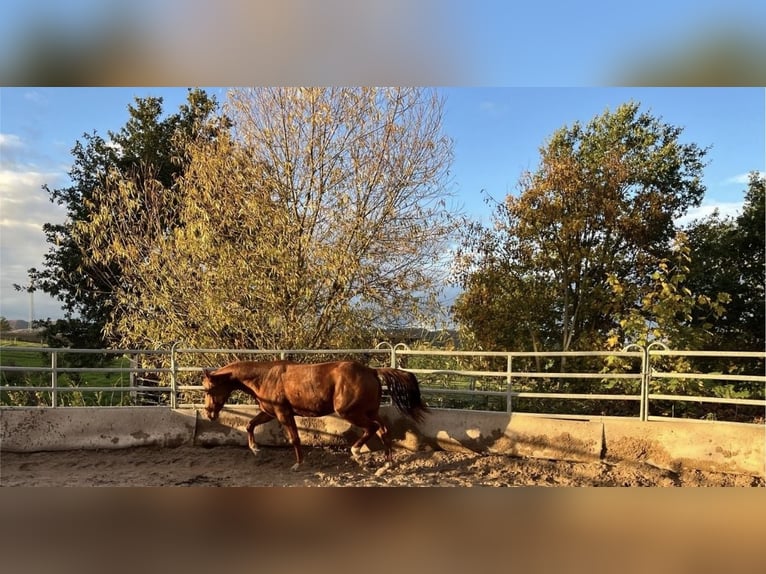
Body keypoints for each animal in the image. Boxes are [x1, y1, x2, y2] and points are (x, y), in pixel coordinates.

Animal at [201, 360, 428, 473]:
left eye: (208, 390)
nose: (209, 414)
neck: (265, 376)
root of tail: (372, 371)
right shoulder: (269, 412)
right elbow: (250, 424)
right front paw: (256, 449)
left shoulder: (283, 413)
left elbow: (294, 438)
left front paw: (298, 464)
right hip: (369, 411)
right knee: (383, 430)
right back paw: (385, 466)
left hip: (349, 412)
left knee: (372, 428)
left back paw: (356, 452)